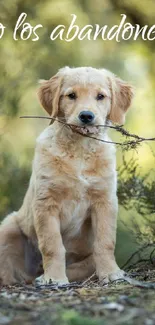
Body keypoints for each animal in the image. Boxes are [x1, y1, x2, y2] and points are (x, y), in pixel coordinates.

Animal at [0, 66, 133, 284]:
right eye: (71, 95)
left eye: (100, 96)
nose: (86, 116)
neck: (80, 149)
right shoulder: (46, 202)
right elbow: (52, 245)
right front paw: (54, 278)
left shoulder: (105, 200)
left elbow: (105, 241)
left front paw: (111, 273)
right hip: (8, 227)